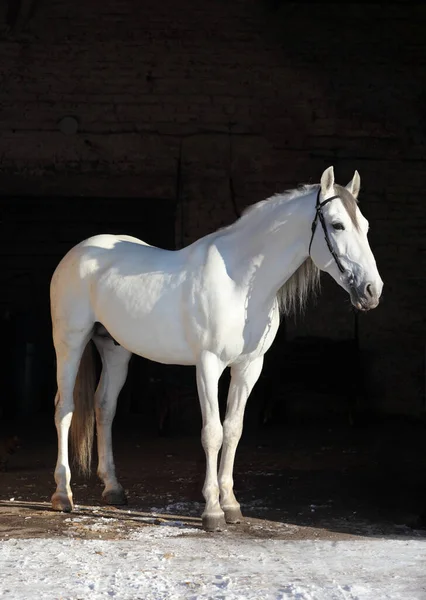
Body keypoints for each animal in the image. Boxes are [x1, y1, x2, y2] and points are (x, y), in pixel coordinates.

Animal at [49, 168, 382, 528]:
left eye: (365, 225)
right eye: (337, 225)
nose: (372, 290)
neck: (239, 281)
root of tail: (79, 251)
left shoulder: (249, 367)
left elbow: (233, 430)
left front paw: (231, 505)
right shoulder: (208, 365)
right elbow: (212, 432)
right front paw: (212, 511)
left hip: (115, 349)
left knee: (104, 407)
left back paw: (113, 489)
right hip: (70, 342)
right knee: (64, 408)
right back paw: (63, 494)